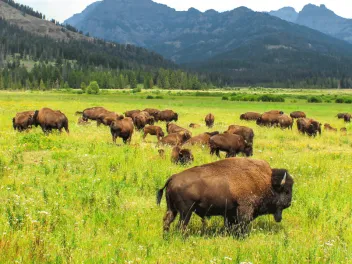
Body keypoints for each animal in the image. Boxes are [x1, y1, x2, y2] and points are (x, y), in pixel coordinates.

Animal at [157, 157, 294, 233]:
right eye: (286, 191)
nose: (289, 203)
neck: (267, 182)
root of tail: (173, 178)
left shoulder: (230, 213)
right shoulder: (244, 209)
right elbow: (242, 224)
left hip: (172, 209)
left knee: (167, 221)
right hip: (186, 212)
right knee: (181, 225)